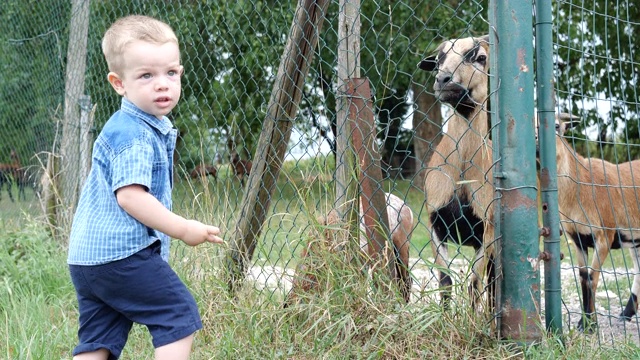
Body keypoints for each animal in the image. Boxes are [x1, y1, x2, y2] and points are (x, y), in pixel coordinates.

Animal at [420, 34, 496, 310]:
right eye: (438, 58)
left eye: (480, 57)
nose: (444, 80)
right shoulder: (435, 223)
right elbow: (445, 283)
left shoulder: (487, 231)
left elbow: (474, 284)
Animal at [548, 115, 640, 332]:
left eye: (556, 126)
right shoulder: (578, 239)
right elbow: (583, 278)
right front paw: (584, 322)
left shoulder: (605, 235)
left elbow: (592, 278)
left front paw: (590, 326)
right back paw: (626, 314)